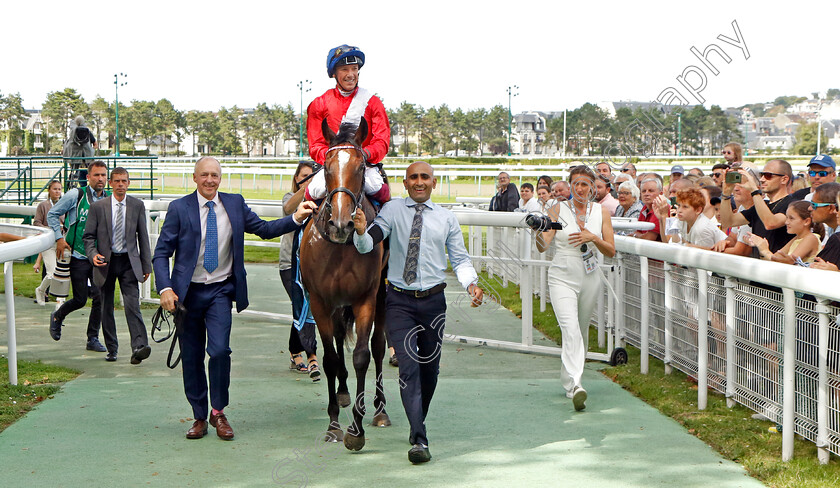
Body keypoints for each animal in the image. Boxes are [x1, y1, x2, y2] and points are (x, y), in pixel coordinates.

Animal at [298, 117, 390, 450]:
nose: (341, 224)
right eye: (325, 167)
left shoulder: (365, 297)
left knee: (379, 346)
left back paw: (380, 409)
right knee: (338, 339)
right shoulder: (319, 301)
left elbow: (363, 355)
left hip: (382, 294)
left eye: (362, 166)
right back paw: (342, 392)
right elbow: (330, 358)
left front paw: (356, 430)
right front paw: (334, 424)